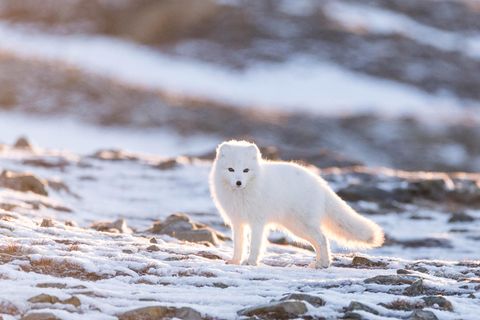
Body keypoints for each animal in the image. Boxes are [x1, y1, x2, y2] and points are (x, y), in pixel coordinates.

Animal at [208, 140, 384, 268]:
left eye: (246, 170)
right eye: (231, 169)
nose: (238, 182)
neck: (242, 195)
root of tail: (321, 183)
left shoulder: (258, 222)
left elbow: (255, 244)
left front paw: (250, 262)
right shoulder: (237, 222)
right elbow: (239, 244)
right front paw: (235, 261)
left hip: (301, 225)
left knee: (322, 239)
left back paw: (322, 264)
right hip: (295, 226)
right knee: (319, 240)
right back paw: (319, 263)